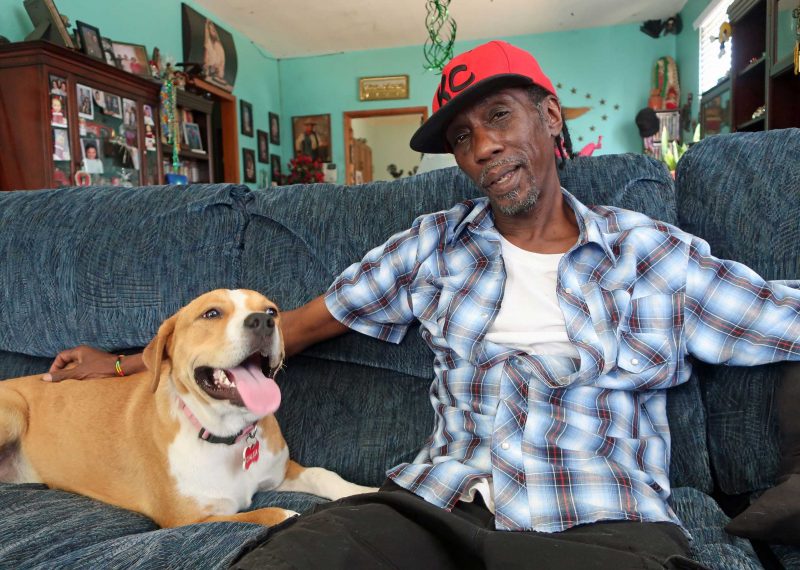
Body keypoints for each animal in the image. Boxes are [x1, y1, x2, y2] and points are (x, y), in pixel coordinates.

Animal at [0, 290, 376, 524]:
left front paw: (366, 491)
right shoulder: (188, 518)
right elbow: (263, 515)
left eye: (273, 311)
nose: (263, 321)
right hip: (12, 412)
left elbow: (324, 475)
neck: (226, 436)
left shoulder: (282, 471)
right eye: (211, 313)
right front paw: (284, 514)